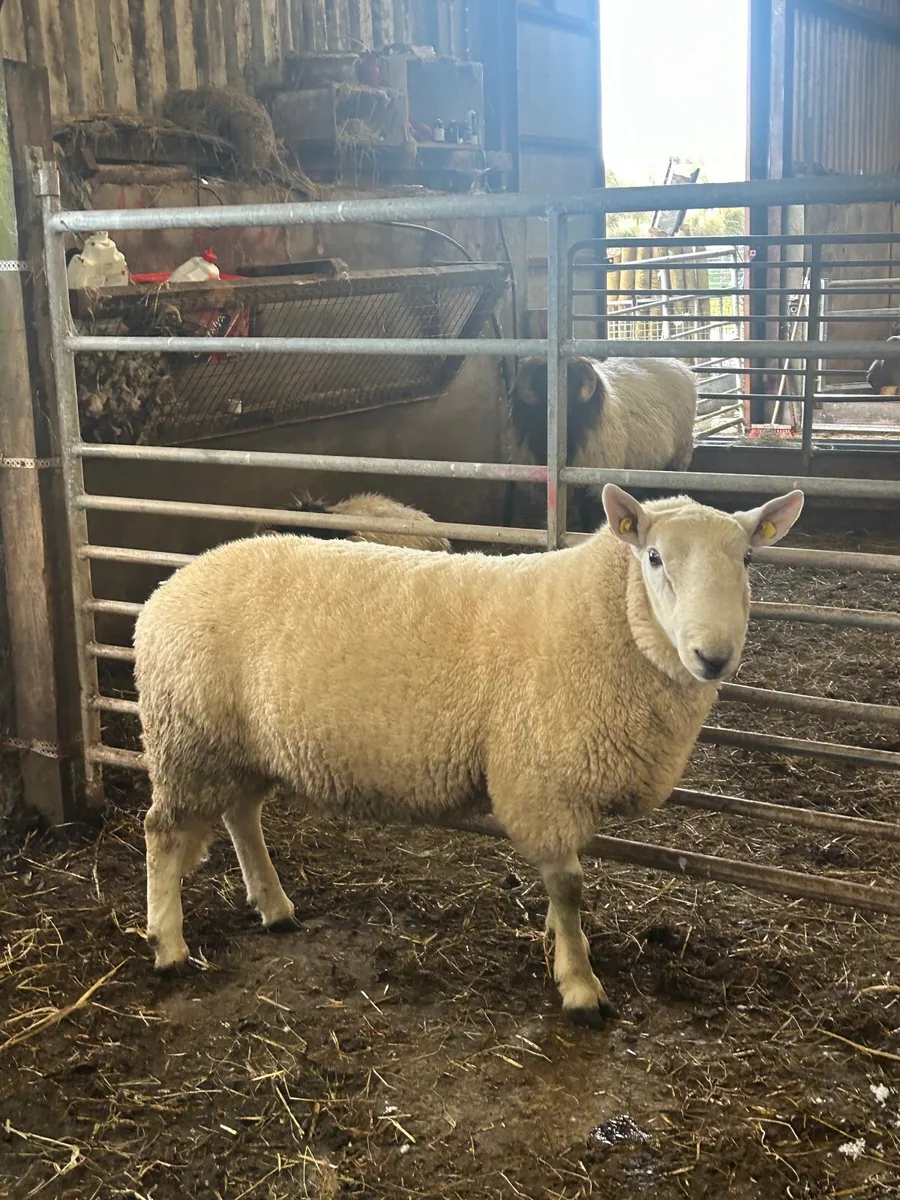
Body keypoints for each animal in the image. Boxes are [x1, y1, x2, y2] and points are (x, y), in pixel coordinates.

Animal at [509, 355, 699, 527]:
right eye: (541, 384)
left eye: (574, 383)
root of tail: (679, 365)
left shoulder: (595, 480)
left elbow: (590, 513)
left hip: (679, 457)